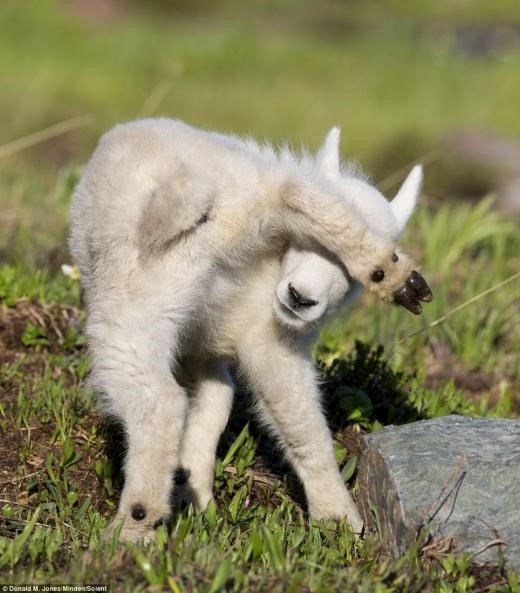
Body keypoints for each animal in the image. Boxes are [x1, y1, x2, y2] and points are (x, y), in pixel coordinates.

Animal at [69, 119, 430, 540]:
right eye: (305, 247)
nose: (300, 298)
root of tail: (194, 196)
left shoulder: (203, 343)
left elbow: (218, 399)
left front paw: (191, 488)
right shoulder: (252, 338)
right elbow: (280, 416)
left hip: (138, 292)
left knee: (158, 397)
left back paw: (137, 520)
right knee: (295, 193)